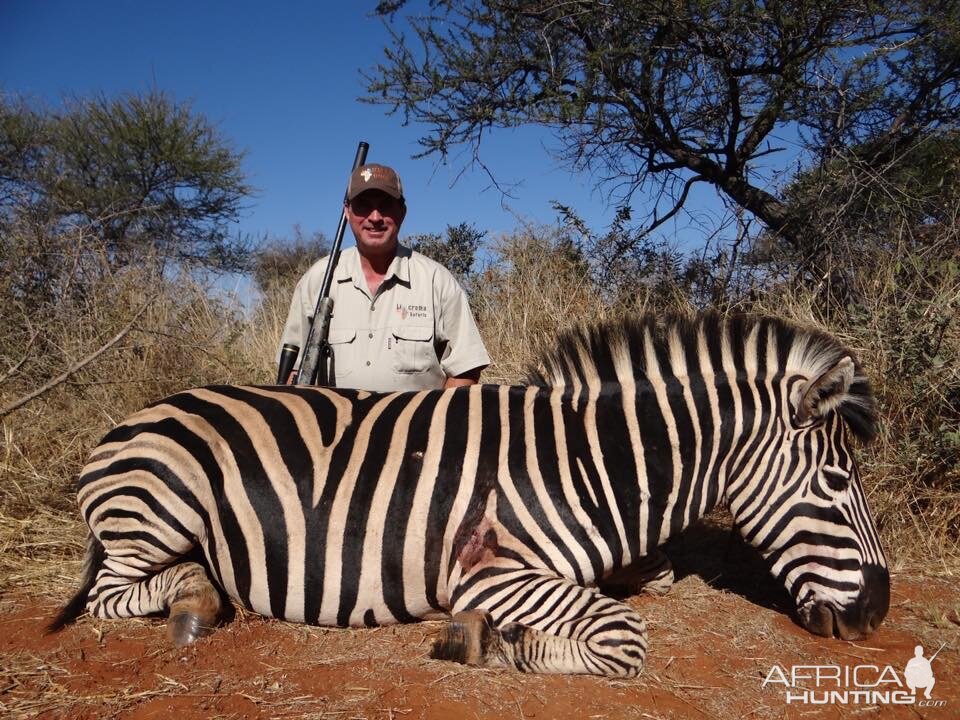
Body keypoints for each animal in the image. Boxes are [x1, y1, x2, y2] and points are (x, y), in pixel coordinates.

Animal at [50, 314, 892, 676]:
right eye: (839, 482)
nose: (877, 614)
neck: (587, 463)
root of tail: (129, 424)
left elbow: (653, 580)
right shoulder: (488, 573)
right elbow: (623, 635)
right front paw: (499, 644)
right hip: (162, 505)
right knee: (112, 595)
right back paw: (197, 598)